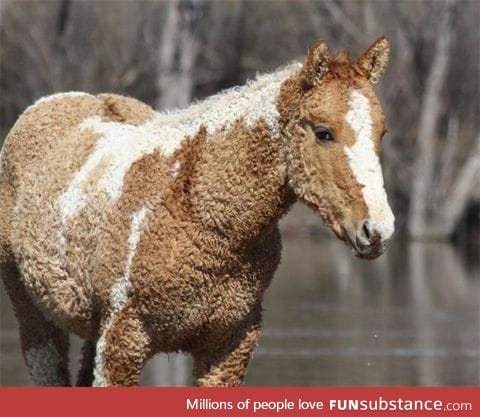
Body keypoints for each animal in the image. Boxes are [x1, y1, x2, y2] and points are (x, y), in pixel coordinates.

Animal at [0, 37, 394, 386]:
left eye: (382, 132)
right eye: (324, 132)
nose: (377, 230)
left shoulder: (229, 346)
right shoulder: (122, 343)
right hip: (35, 318)